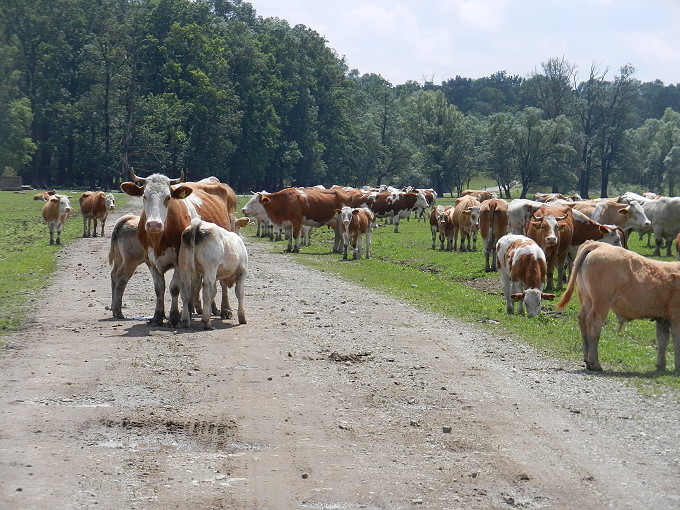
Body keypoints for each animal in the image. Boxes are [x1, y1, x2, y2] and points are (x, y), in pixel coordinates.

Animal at [556, 241, 680, 372]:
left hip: (586, 299)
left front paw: (661, 365)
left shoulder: (662, 318)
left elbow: (662, 340)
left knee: (583, 321)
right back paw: (595, 363)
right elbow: (676, 341)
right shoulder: (675, 317)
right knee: (594, 325)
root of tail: (598, 245)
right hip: (601, 303)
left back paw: (587, 360)